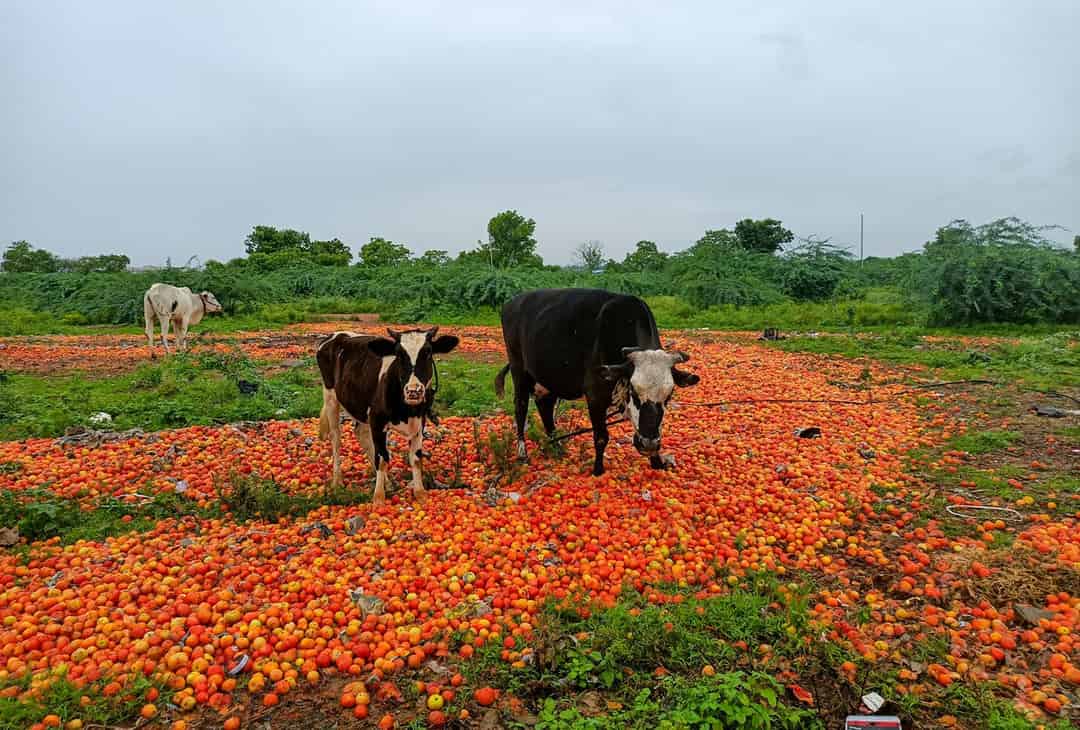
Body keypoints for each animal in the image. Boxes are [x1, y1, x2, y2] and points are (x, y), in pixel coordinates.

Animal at [317, 327, 460, 505]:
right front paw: (379, 496)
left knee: (361, 434)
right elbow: (382, 458)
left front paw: (419, 492)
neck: (407, 410)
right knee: (336, 437)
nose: (413, 391)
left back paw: (388, 482)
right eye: (399, 354)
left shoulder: (419, 422)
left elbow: (416, 459)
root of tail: (336, 334)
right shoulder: (377, 421)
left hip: (361, 406)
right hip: (330, 396)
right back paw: (337, 481)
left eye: (428, 352)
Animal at [495, 289, 699, 476]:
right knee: (520, 407)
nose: (648, 444)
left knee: (544, 405)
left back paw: (556, 445)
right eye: (633, 392)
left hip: (548, 377)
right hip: (519, 370)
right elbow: (601, 437)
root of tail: (511, 302)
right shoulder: (595, 395)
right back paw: (522, 453)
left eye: (669, 395)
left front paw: (657, 461)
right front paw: (598, 469)